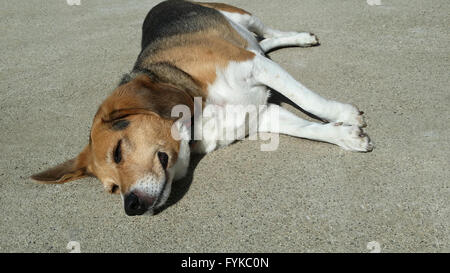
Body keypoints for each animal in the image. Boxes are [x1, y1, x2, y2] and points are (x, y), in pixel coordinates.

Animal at [31, 1, 372, 216]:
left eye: (117, 152)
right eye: (113, 188)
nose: (131, 207)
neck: (196, 118)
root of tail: (157, 5)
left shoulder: (255, 67)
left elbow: (309, 100)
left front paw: (343, 114)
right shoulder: (260, 114)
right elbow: (308, 128)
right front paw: (346, 136)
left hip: (242, 15)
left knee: (269, 33)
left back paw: (301, 37)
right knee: (264, 44)